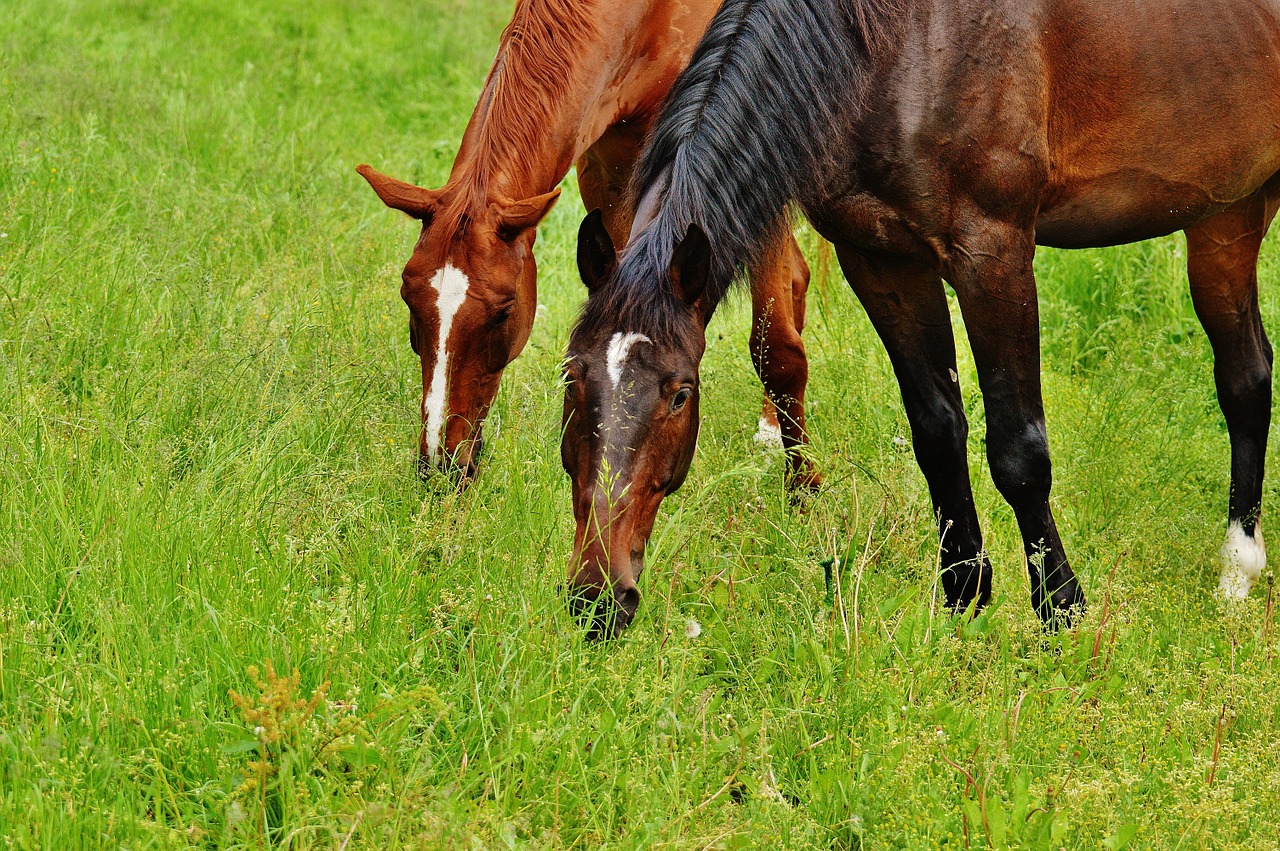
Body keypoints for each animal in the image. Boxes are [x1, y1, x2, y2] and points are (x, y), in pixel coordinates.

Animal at [358, 0, 819, 483]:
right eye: (410, 303)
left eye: (503, 312)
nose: (441, 465)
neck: (645, 18)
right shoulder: (610, 170)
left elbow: (776, 351)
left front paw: (803, 484)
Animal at [565, 0, 1280, 637]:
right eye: (572, 380)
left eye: (680, 394)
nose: (596, 599)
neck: (898, 49)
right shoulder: (881, 259)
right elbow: (936, 430)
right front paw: (963, 593)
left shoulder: (992, 254)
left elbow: (1019, 450)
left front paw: (1061, 610)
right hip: (1228, 213)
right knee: (1246, 376)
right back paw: (1237, 571)